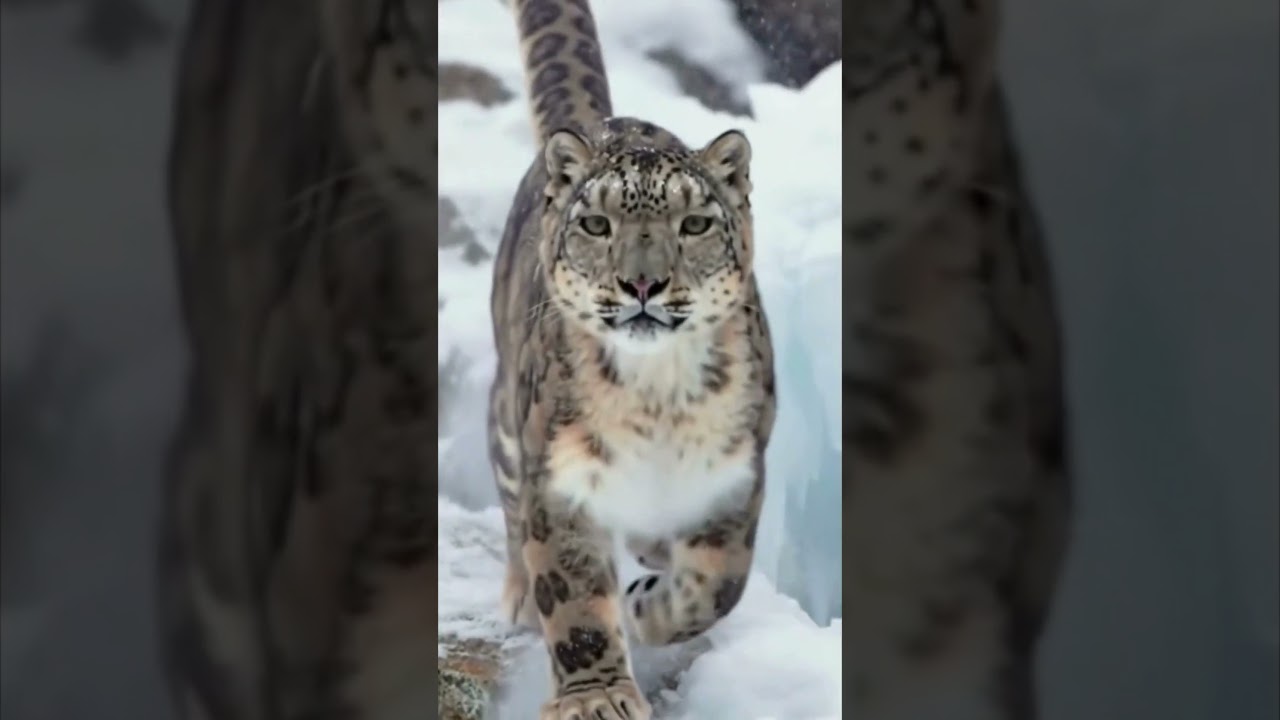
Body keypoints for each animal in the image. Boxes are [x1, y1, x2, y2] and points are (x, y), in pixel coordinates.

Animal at [486, 0, 777, 717]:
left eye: (695, 223)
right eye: (597, 224)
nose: (642, 283)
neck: (656, 398)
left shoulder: (734, 473)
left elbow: (719, 581)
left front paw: (649, 611)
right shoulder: (557, 480)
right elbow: (572, 594)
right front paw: (597, 696)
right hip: (507, 429)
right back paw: (521, 595)